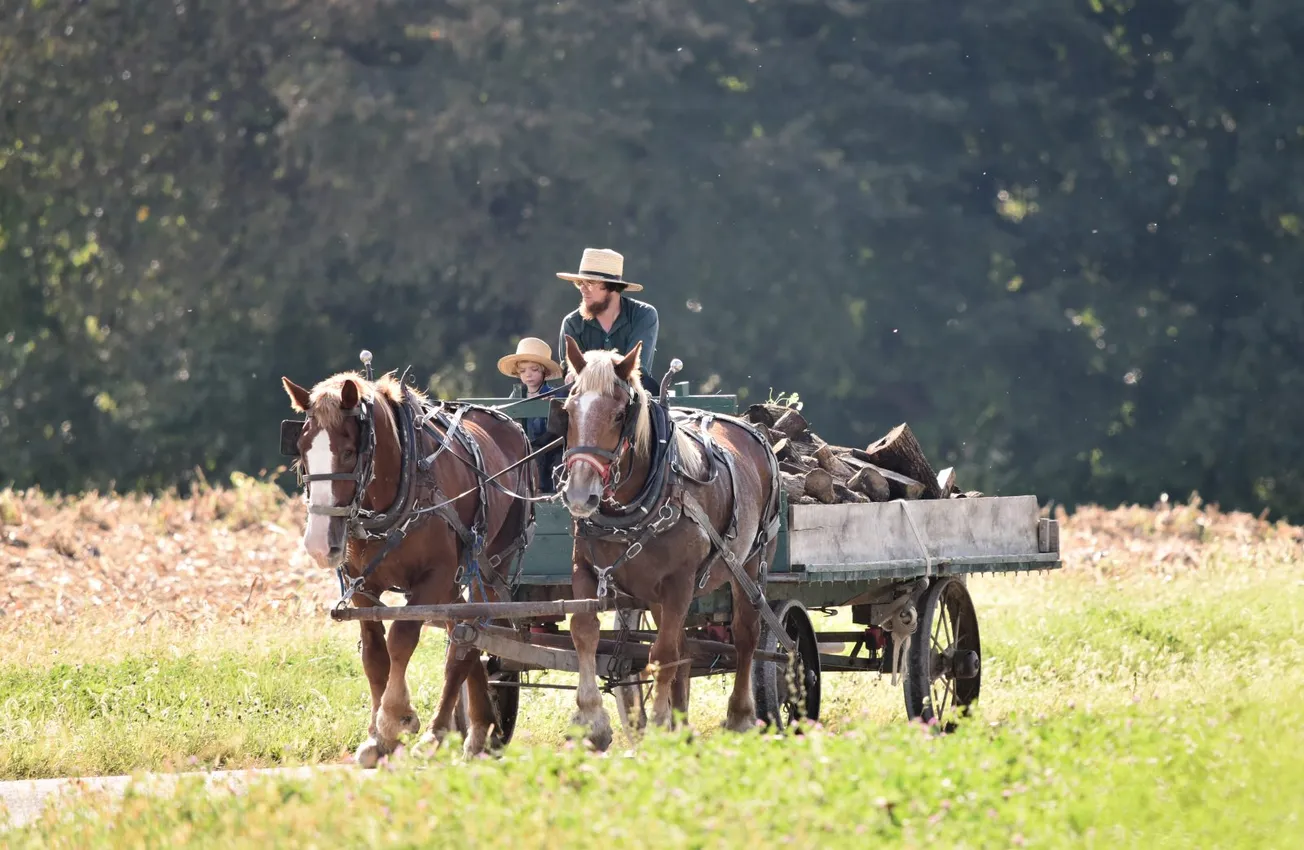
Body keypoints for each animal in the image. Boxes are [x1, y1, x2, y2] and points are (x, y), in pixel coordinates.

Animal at [280, 370, 534, 761]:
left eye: (349, 452)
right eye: (303, 452)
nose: (319, 545)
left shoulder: (433, 577)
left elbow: (401, 639)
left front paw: (394, 719)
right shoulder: (363, 587)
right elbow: (374, 655)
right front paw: (375, 738)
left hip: (492, 566)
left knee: (467, 638)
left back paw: (440, 732)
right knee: (466, 634)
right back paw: (480, 729)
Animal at [552, 336, 777, 745]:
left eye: (619, 415)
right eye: (568, 410)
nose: (579, 495)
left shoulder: (680, 582)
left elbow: (661, 653)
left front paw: (658, 721)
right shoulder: (586, 570)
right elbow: (584, 632)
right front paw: (591, 720)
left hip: (750, 564)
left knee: (745, 636)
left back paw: (740, 716)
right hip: (657, 595)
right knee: (684, 651)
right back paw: (683, 725)